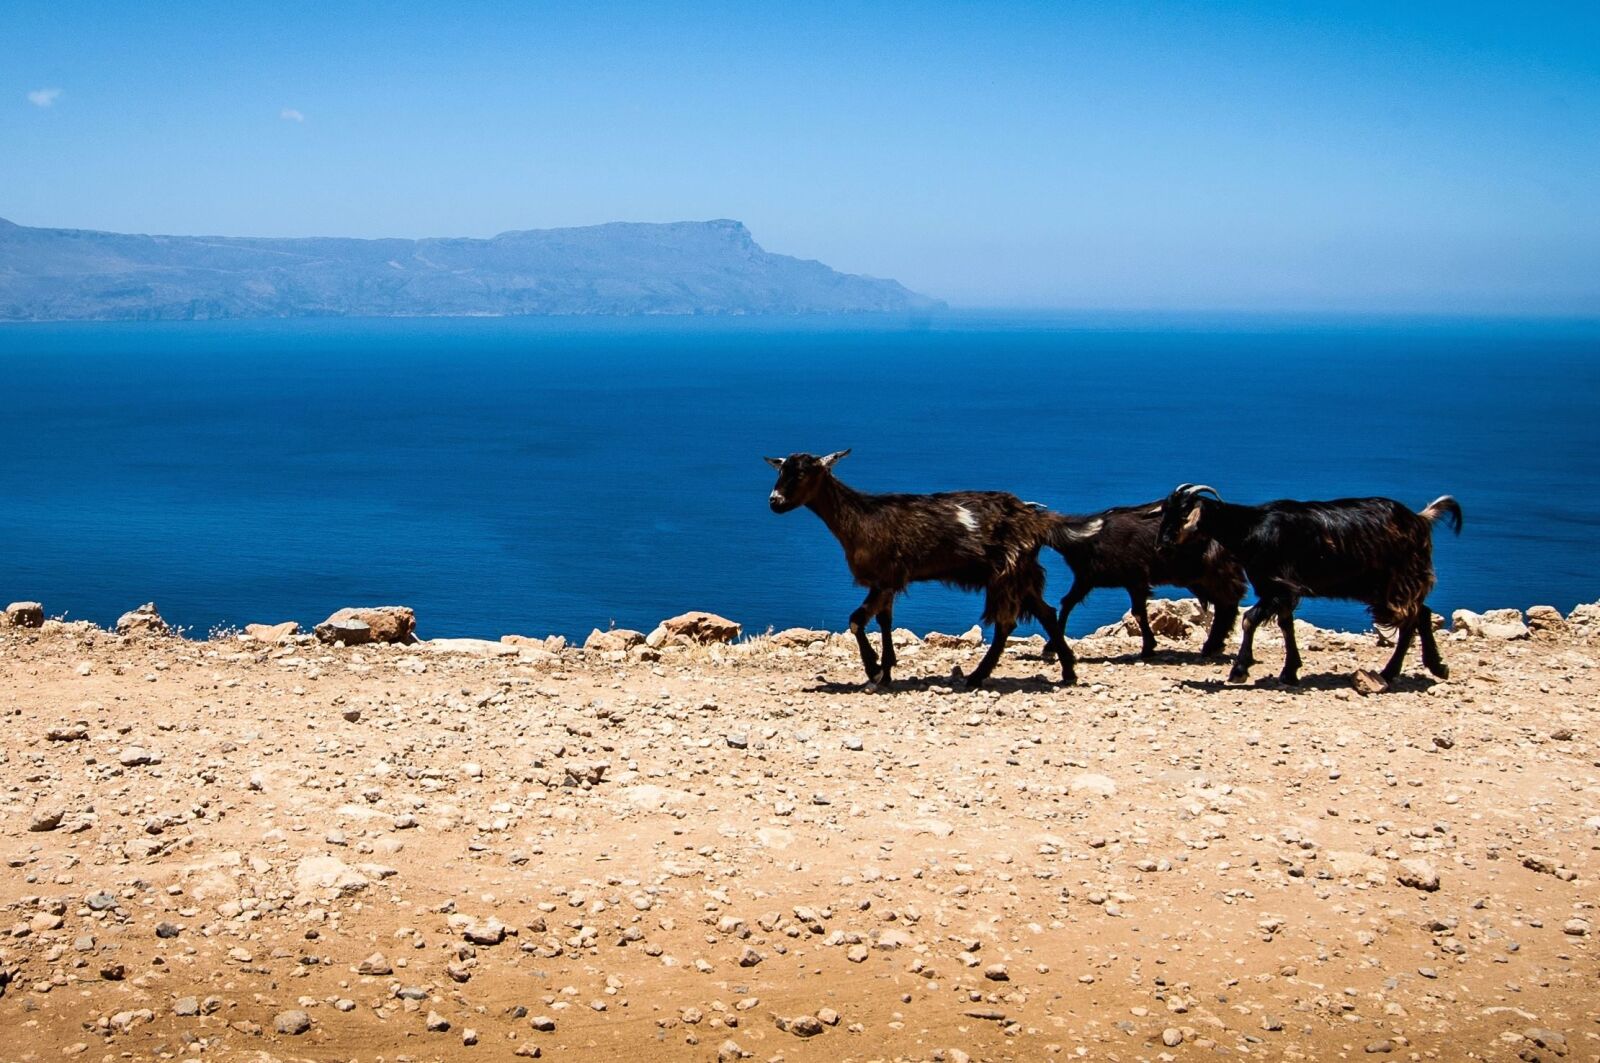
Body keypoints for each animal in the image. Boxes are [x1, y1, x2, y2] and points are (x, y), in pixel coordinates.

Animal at [766, 450, 1076, 689]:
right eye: (780, 471)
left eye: (802, 473)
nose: (774, 501)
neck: (860, 518)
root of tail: (1034, 519)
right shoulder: (887, 582)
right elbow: (884, 621)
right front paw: (886, 671)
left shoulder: (885, 577)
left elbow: (856, 620)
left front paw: (874, 670)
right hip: (1022, 573)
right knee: (1046, 613)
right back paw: (1068, 672)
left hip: (1007, 571)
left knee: (1005, 623)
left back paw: (977, 677)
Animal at [1040, 501, 1246, 658]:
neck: (1088, 537)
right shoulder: (1086, 579)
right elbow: (1067, 603)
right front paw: (1050, 647)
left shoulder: (1136, 579)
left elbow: (1138, 612)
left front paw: (1148, 648)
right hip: (1200, 579)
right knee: (1224, 604)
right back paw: (1214, 646)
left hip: (1215, 571)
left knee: (1228, 603)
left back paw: (1212, 646)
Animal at [1156, 484, 1463, 685]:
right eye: (1165, 512)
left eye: (1182, 514)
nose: (1161, 546)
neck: (1250, 528)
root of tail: (1420, 519)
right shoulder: (1276, 590)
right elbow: (1286, 625)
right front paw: (1290, 672)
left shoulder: (1280, 586)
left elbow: (1250, 619)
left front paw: (1239, 670)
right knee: (1420, 614)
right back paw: (1425, 668)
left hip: (1397, 581)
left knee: (1413, 616)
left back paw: (1401, 671)